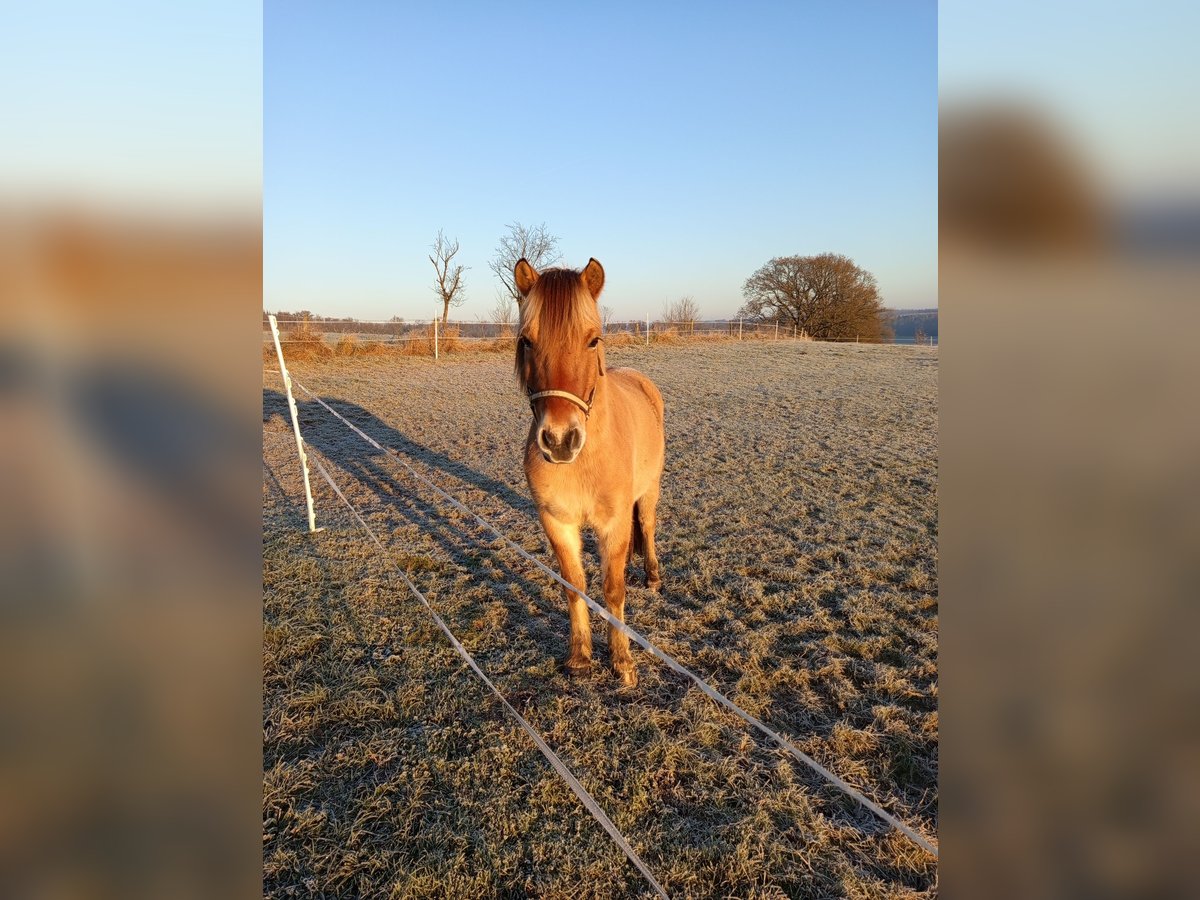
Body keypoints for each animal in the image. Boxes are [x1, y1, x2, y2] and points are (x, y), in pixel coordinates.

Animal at [513, 256, 667, 686]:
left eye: (593, 340)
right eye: (526, 340)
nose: (560, 440)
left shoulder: (613, 523)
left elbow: (613, 590)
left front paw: (623, 661)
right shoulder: (557, 522)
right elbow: (575, 586)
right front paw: (580, 656)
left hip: (649, 490)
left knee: (646, 526)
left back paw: (651, 575)